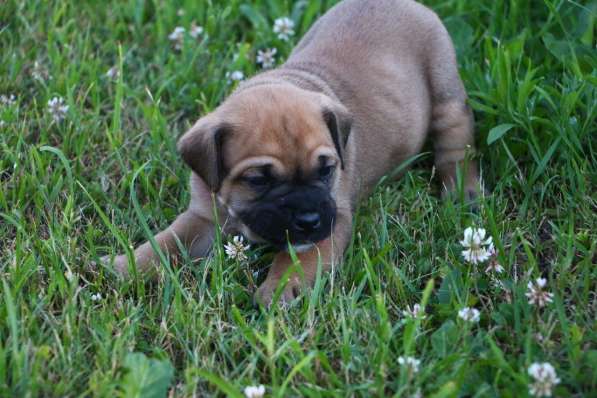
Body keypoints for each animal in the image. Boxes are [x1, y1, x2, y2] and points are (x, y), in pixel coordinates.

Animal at [105, 0, 480, 304]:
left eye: (326, 170)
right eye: (257, 180)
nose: (309, 219)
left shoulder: (331, 223)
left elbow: (297, 260)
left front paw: (281, 288)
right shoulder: (203, 217)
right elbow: (166, 243)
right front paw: (126, 267)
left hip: (444, 85)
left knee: (456, 141)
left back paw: (464, 191)